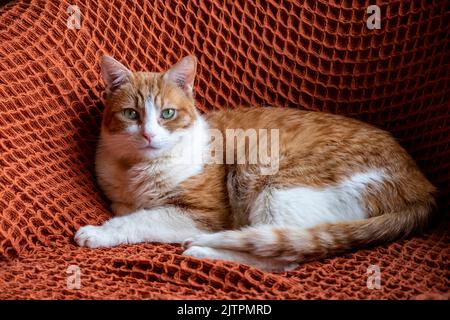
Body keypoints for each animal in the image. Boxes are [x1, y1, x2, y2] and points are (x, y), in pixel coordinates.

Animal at [74, 54, 436, 270]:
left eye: (167, 114)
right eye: (131, 114)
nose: (149, 134)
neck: (139, 170)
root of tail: (422, 187)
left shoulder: (204, 214)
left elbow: (138, 220)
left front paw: (98, 233)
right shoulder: (121, 200)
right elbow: (129, 211)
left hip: (270, 180)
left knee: (283, 254)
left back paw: (201, 249)